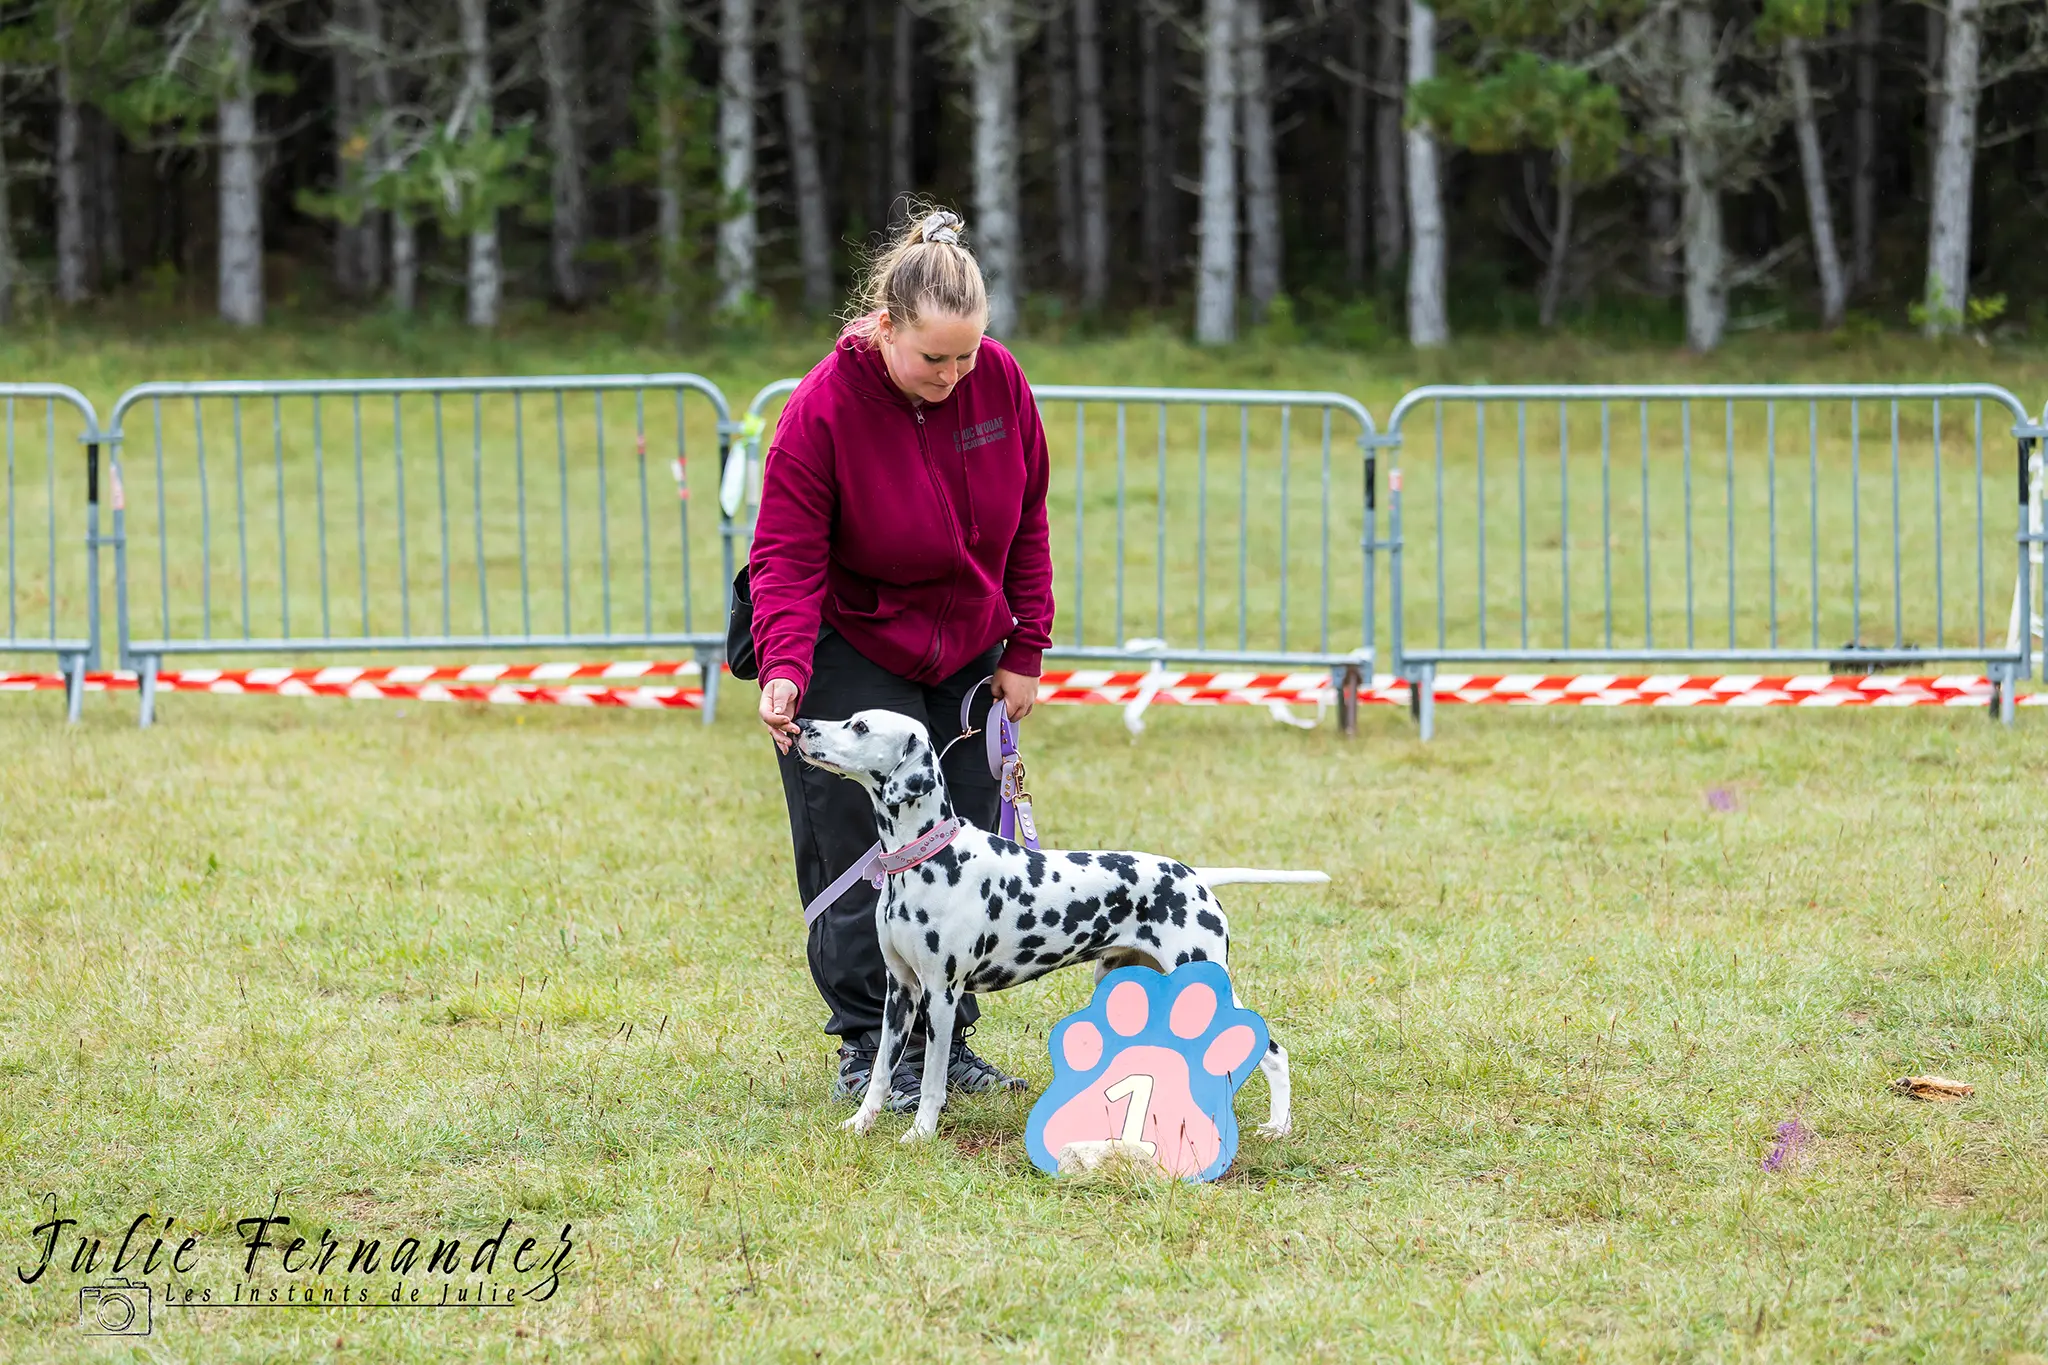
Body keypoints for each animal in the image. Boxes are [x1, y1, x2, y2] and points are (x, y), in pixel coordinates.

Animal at [782, 712, 1310, 1146]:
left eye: (860, 726)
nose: (801, 724)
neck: (926, 859)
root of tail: (1194, 876)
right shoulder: (901, 992)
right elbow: (879, 1073)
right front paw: (859, 1124)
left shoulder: (942, 996)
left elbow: (931, 1080)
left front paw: (920, 1134)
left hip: (1203, 978)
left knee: (1273, 1051)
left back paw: (1277, 1126)